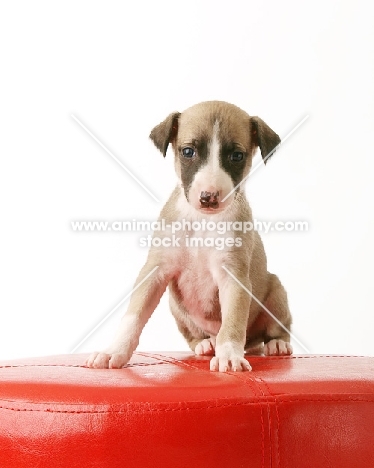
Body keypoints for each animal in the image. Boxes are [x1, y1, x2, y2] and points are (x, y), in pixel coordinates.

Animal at [87, 100, 292, 372]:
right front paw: (113, 351)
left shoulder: (233, 277)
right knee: (195, 336)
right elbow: (133, 316)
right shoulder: (155, 271)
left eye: (236, 156)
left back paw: (276, 344)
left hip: (276, 291)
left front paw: (229, 355)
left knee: (276, 329)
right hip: (175, 306)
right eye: (188, 151)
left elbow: (232, 322)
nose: (209, 197)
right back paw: (205, 344)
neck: (202, 221)